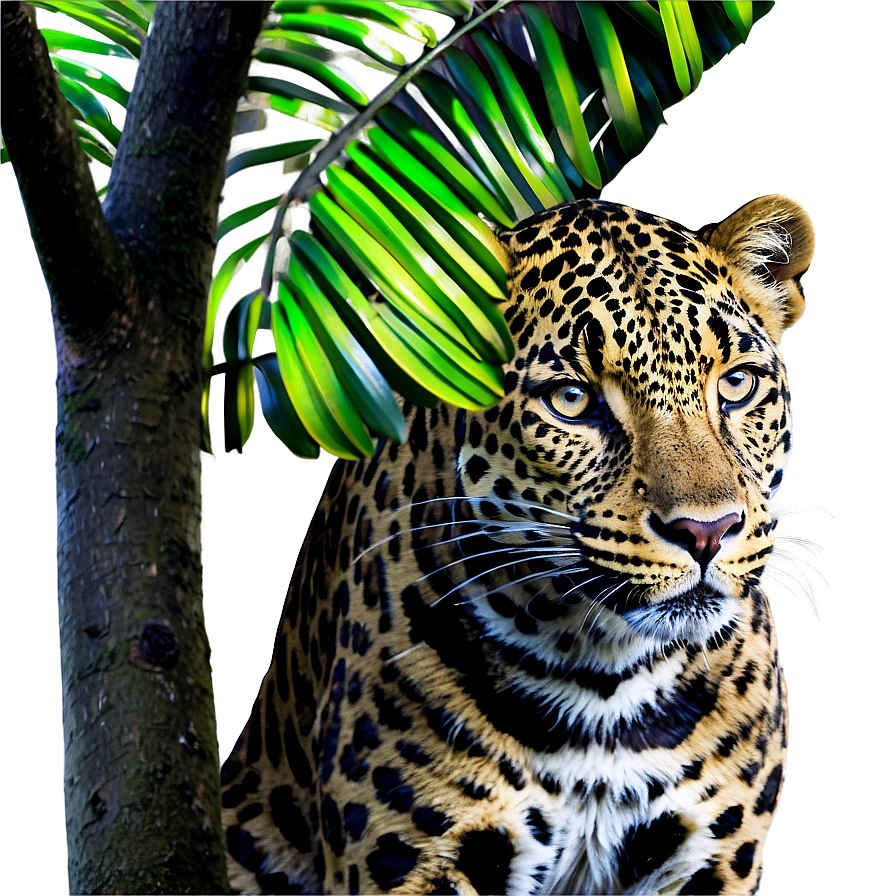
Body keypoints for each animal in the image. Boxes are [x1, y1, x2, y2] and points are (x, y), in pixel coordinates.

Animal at [220, 194, 815, 895]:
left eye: (738, 385)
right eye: (572, 400)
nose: (707, 531)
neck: (605, 682)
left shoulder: (709, 862)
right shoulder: (416, 861)